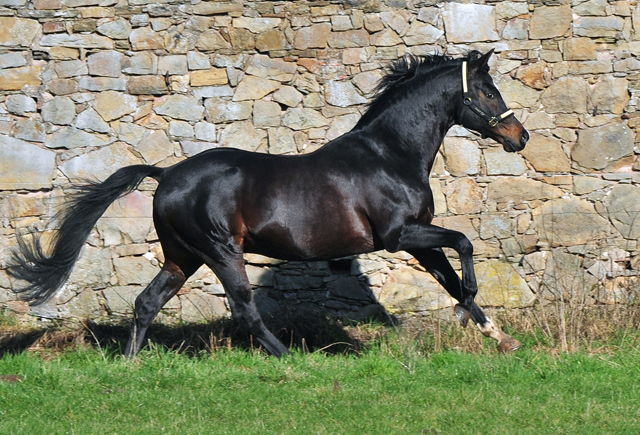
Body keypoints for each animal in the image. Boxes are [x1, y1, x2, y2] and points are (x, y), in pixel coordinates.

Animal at [10, 50, 528, 358]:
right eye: (487, 90)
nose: (519, 137)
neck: (389, 154)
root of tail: (167, 174)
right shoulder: (399, 235)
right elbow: (464, 244)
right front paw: (471, 309)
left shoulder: (418, 238)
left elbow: (450, 275)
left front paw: (497, 333)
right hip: (221, 251)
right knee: (243, 308)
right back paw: (291, 358)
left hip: (183, 257)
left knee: (146, 302)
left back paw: (130, 365)